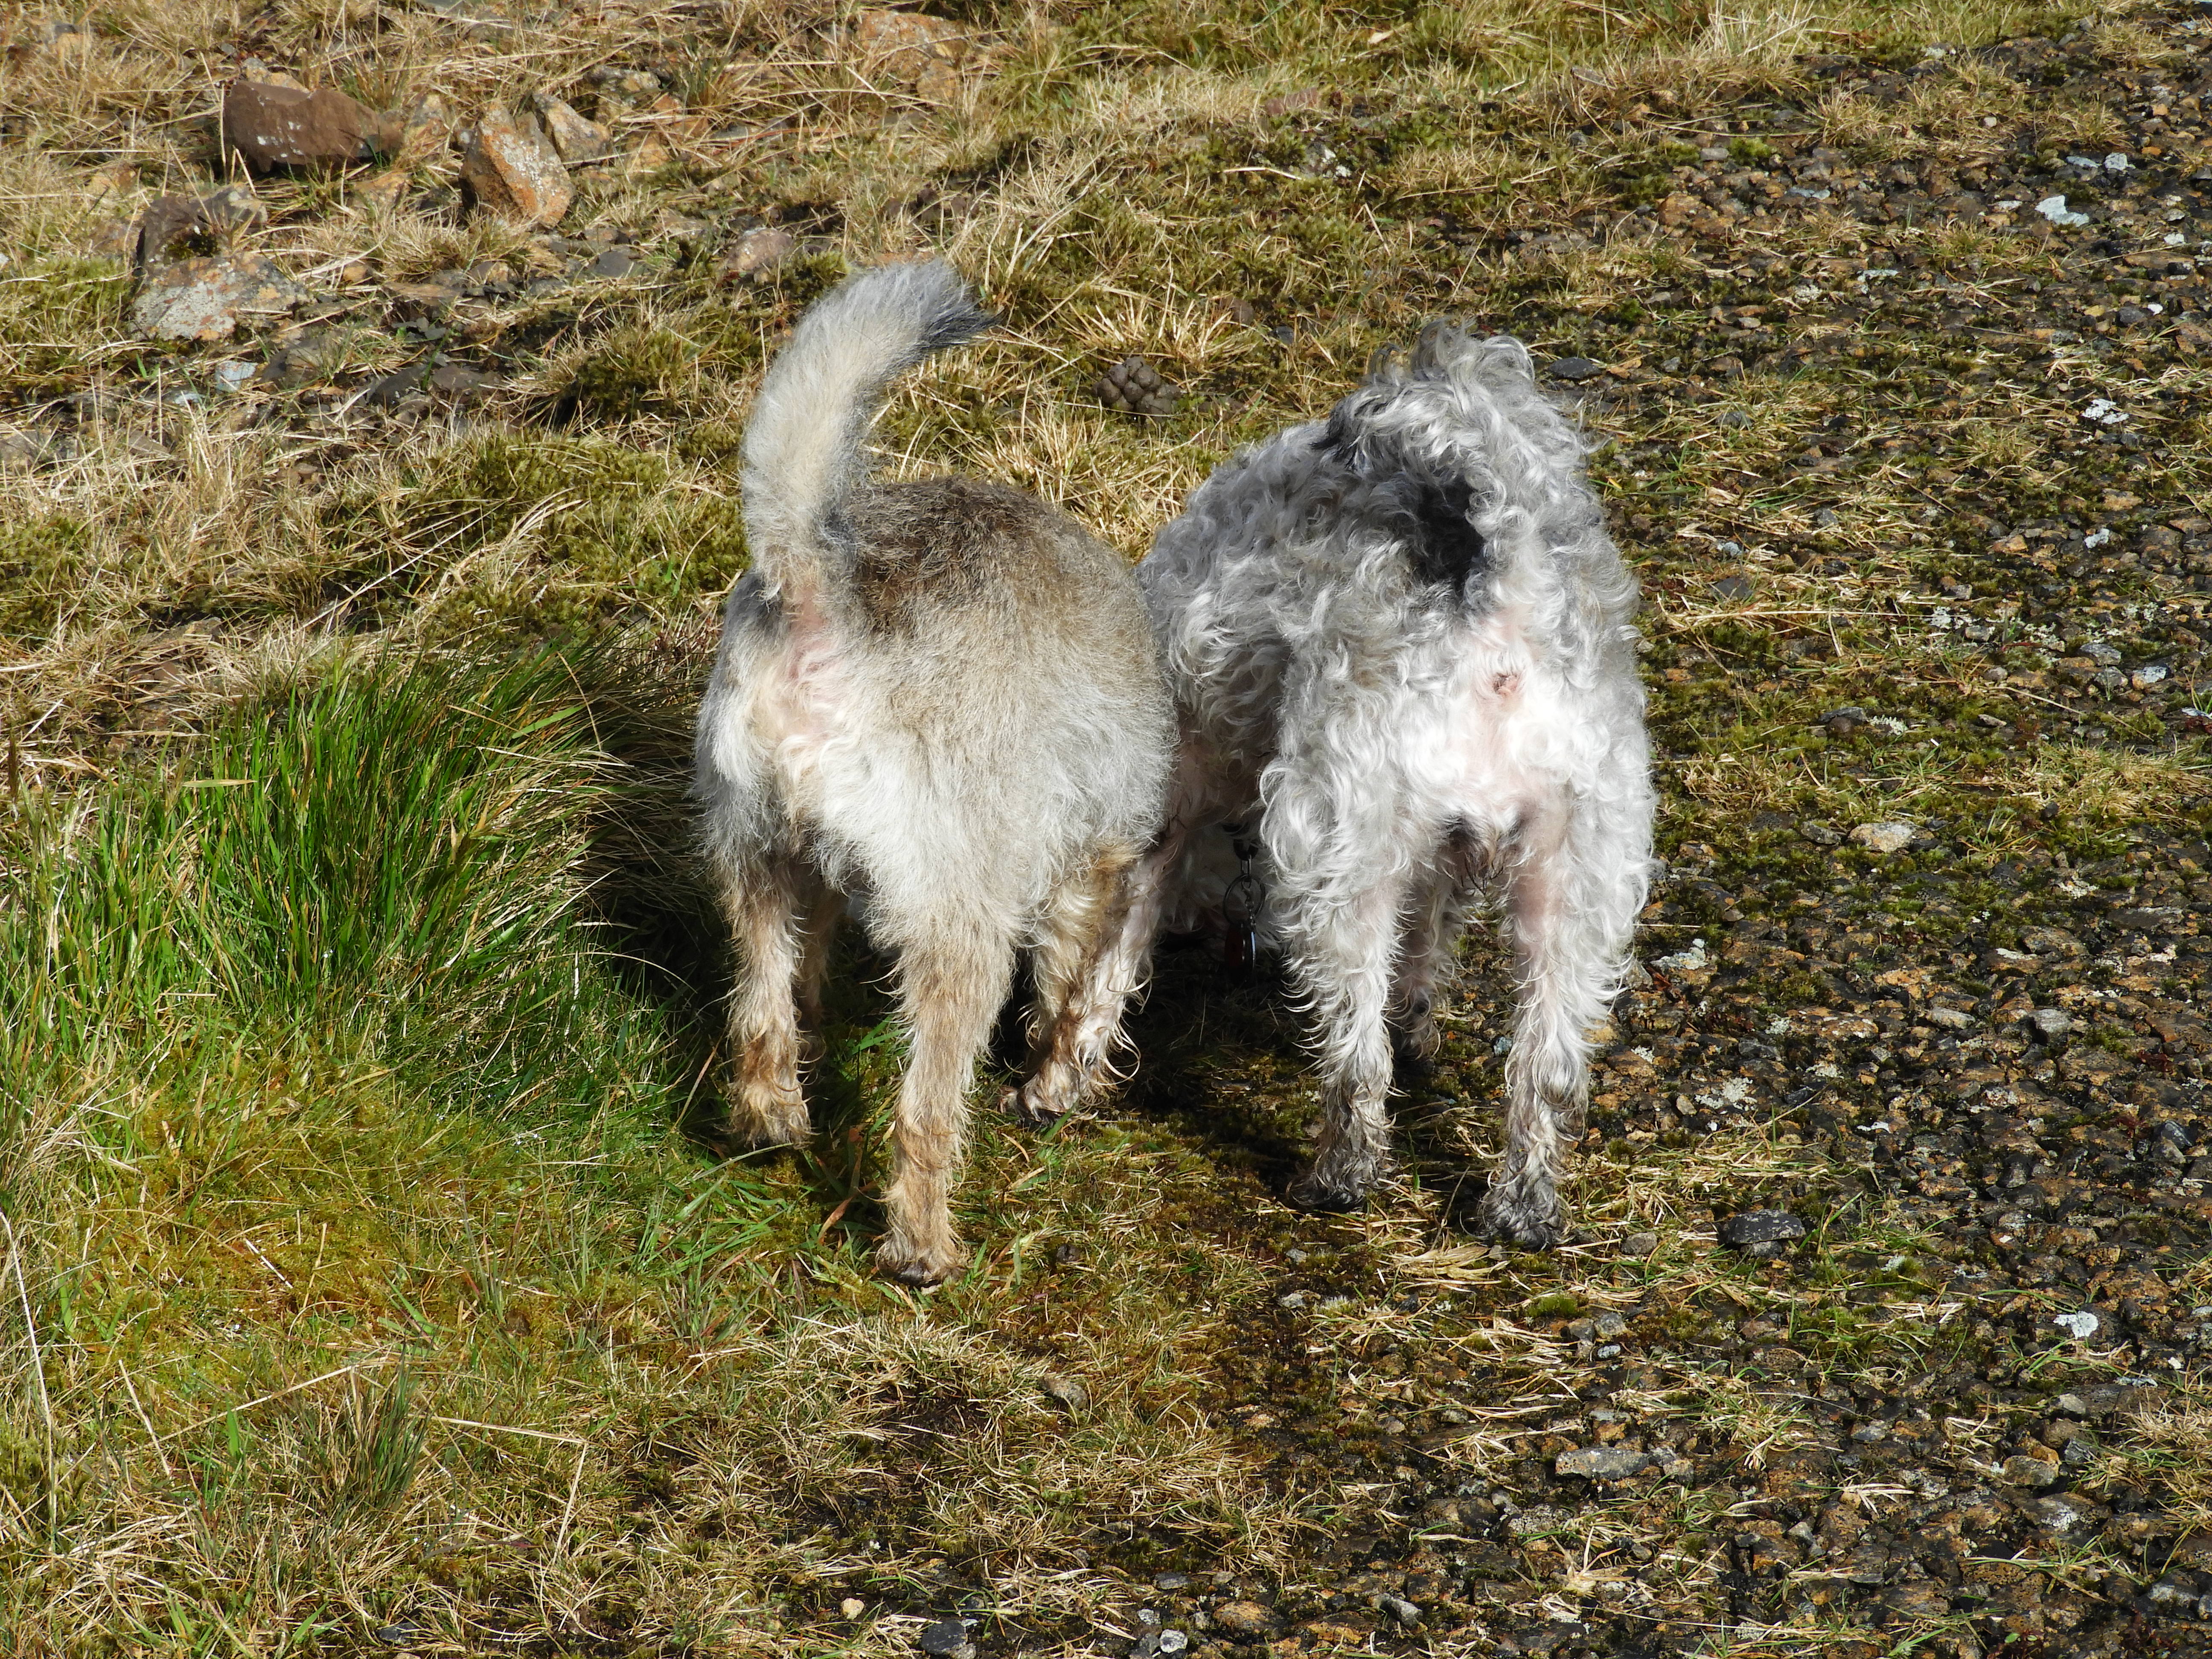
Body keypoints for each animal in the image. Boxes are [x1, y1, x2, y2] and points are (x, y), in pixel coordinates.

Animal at [692, 261, 1172, 1284]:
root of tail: (818, 593)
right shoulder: (1084, 872)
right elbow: (1070, 984)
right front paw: (1052, 1082)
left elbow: (807, 972)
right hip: (963, 930)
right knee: (923, 1109)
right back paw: (922, 1248)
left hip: (750, 854)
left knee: (758, 1008)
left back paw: (773, 1118)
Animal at [1081, 323, 1653, 1245]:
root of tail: (1499, 604)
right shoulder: (1447, 846)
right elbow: (1428, 938)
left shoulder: (1168, 800)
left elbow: (1106, 956)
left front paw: (1057, 1081)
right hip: (1578, 871)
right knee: (1546, 1061)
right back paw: (1524, 1206)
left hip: (1342, 855)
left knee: (1354, 1055)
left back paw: (1340, 1177)